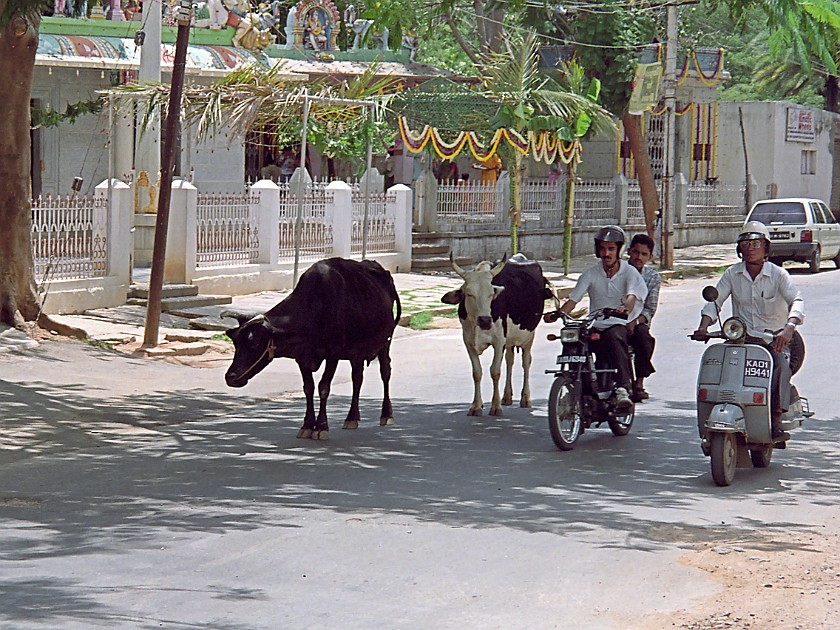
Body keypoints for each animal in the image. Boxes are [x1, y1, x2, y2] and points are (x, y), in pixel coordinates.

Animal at [225, 260, 402, 442]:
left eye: (254, 344)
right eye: (236, 344)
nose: (230, 377)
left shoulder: (333, 355)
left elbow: (323, 387)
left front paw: (322, 427)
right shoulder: (302, 358)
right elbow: (308, 388)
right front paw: (307, 426)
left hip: (385, 343)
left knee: (385, 372)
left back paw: (386, 415)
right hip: (356, 352)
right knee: (357, 378)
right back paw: (352, 418)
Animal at [442, 254, 556, 418]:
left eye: (491, 294)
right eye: (469, 293)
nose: (485, 320)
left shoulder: (498, 341)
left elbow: (495, 372)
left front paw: (495, 407)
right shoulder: (469, 342)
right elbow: (477, 372)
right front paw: (476, 406)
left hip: (529, 336)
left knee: (526, 362)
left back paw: (525, 398)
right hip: (509, 341)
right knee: (510, 360)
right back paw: (507, 396)